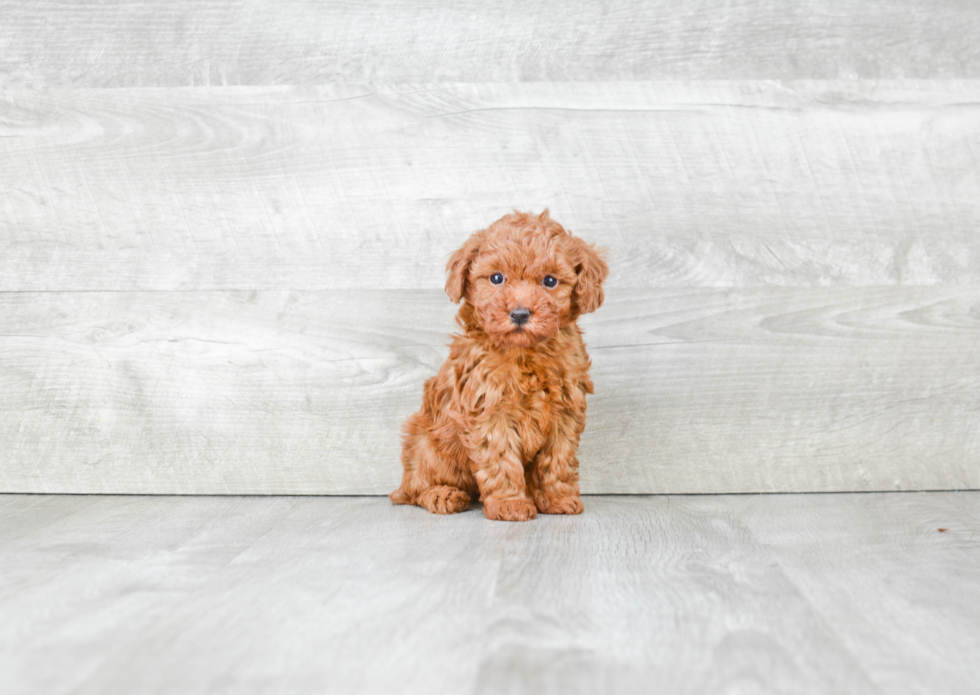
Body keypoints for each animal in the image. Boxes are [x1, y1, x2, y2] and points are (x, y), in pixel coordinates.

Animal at [388, 209, 604, 520]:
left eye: (550, 281)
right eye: (497, 278)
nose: (519, 313)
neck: (526, 353)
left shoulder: (565, 411)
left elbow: (558, 458)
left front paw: (558, 497)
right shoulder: (490, 409)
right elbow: (501, 459)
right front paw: (510, 504)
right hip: (428, 445)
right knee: (417, 487)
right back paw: (443, 495)